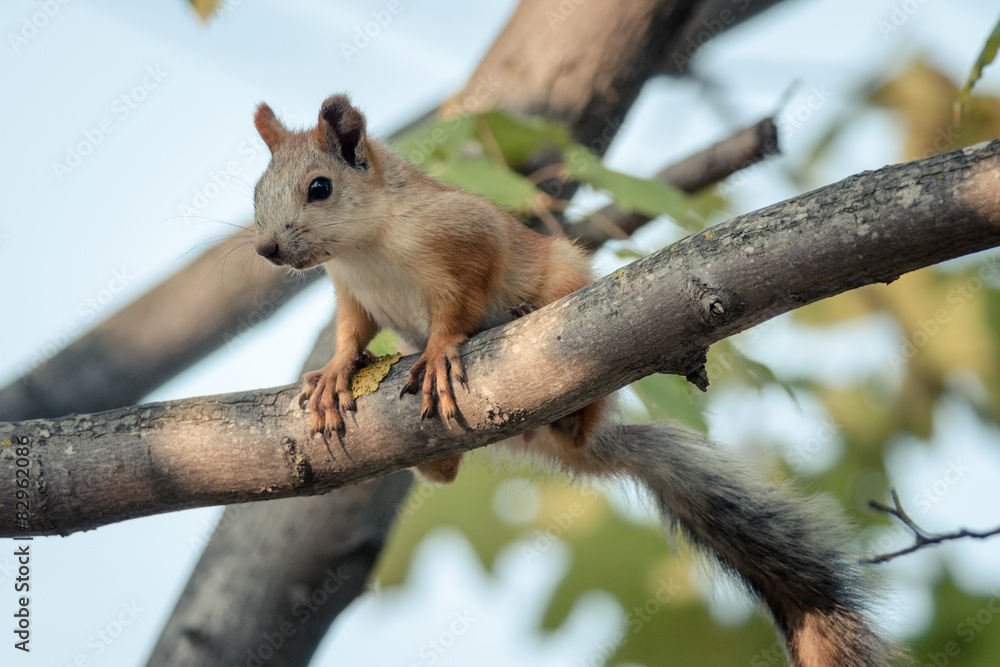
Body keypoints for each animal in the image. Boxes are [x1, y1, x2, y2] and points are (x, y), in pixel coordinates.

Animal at [251, 94, 893, 666]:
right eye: (257, 192)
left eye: (319, 187)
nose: (267, 248)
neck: (364, 249)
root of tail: (569, 443)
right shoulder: (352, 293)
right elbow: (350, 334)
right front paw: (336, 373)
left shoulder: (463, 236)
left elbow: (459, 304)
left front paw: (436, 351)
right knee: (444, 473)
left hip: (569, 294)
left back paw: (530, 340)